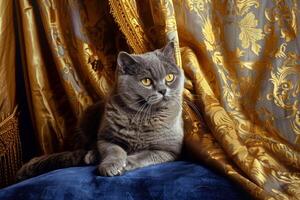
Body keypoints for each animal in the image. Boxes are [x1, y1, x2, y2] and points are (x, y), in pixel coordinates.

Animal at [17, 41, 185, 180]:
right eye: (146, 81)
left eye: (169, 77)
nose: (163, 90)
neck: (143, 117)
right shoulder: (106, 138)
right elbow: (114, 150)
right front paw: (111, 166)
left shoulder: (168, 151)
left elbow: (144, 156)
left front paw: (127, 163)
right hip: (87, 118)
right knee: (90, 145)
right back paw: (91, 156)